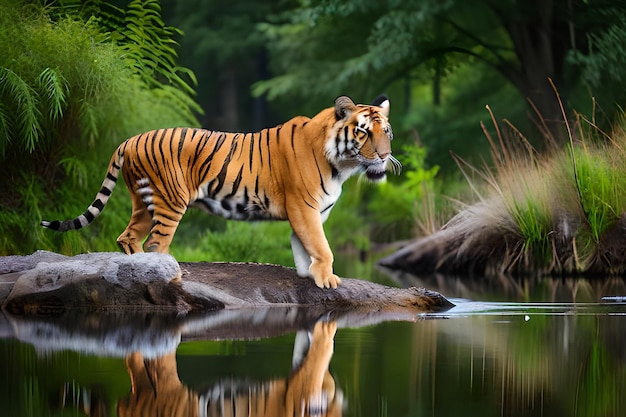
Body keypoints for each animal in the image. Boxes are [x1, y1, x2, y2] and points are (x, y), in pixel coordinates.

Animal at [41, 96, 398, 288]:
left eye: (387, 132)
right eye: (364, 132)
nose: (384, 156)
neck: (342, 165)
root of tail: (129, 139)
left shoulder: (313, 212)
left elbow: (302, 245)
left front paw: (307, 275)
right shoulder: (304, 207)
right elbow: (322, 246)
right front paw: (328, 279)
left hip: (143, 201)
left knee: (128, 237)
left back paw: (139, 272)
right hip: (170, 201)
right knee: (157, 242)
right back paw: (169, 275)